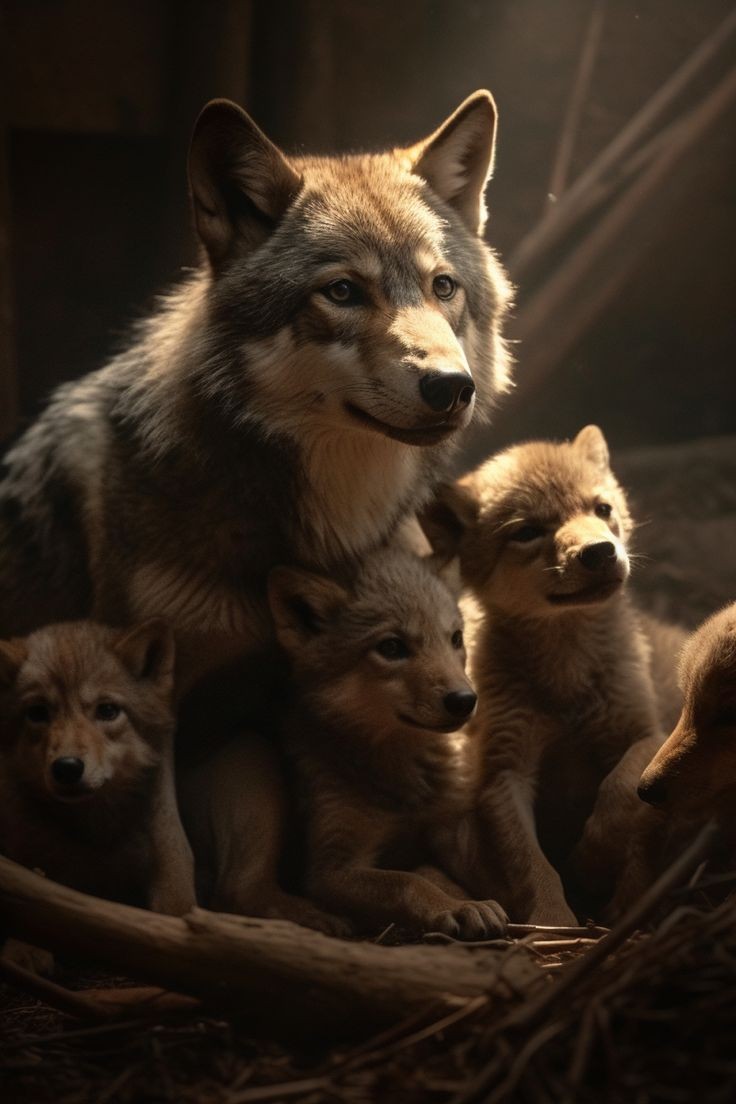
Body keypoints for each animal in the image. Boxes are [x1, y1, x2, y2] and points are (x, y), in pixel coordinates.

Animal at [267, 547, 507, 940]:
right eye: (392, 647)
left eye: (455, 639)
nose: (464, 700)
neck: (401, 775)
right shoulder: (329, 869)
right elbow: (405, 882)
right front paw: (455, 907)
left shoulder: (446, 829)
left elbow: (437, 873)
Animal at [421, 426, 664, 924]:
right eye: (527, 532)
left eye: (602, 509)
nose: (601, 552)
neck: (566, 666)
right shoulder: (504, 775)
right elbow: (532, 867)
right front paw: (553, 927)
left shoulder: (646, 734)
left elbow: (619, 792)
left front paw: (588, 863)